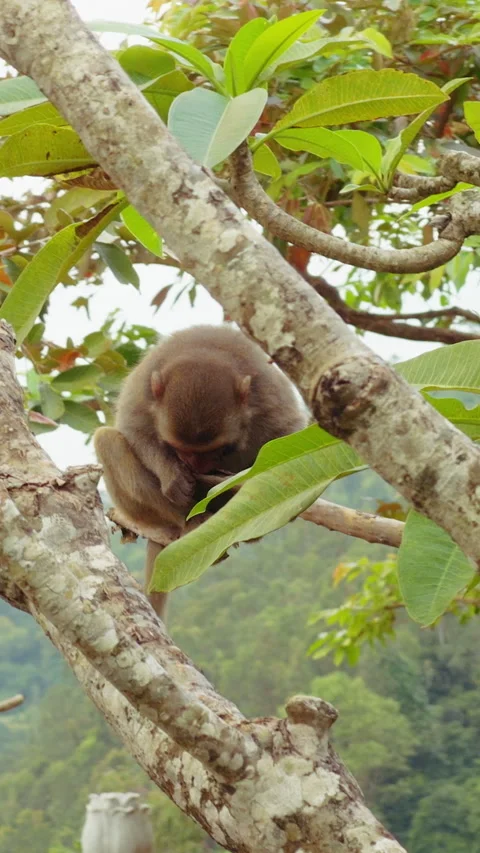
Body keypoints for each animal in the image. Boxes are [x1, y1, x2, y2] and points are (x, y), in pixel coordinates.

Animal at [94, 325, 309, 622]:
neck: (202, 352)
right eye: (178, 449)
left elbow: (288, 434)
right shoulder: (142, 391)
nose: (197, 467)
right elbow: (134, 429)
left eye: (216, 449)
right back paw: (191, 522)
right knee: (106, 439)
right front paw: (172, 477)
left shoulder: (269, 398)